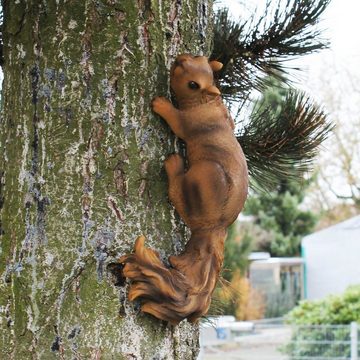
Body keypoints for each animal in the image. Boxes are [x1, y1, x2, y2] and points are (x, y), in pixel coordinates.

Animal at [119, 54, 249, 324]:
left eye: (192, 84)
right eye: (198, 57)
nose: (179, 60)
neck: (206, 103)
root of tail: (213, 229)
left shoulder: (188, 124)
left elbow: (176, 120)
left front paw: (160, 103)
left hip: (204, 177)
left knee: (177, 193)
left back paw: (173, 164)